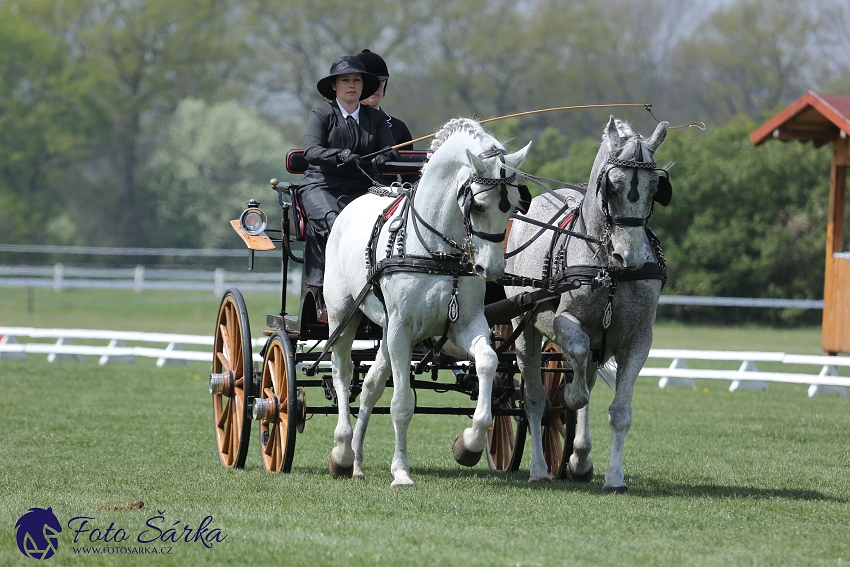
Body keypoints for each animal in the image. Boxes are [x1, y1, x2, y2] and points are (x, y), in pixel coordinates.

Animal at [324, 118, 528, 488]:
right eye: (478, 205)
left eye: (513, 205)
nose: (490, 270)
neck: (437, 252)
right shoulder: (402, 330)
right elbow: (402, 403)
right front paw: (401, 472)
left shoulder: (465, 324)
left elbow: (488, 362)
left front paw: (469, 444)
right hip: (342, 315)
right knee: (343, 375)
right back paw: (343, 453)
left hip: (385, 331)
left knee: (371, 384)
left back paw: (357, 460)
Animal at [504, 115, 668, 492]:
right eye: (612, 186)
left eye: (656, 187)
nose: (630, 256)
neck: (609, 271)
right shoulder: (565, 323)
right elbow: (575, 381)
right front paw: (570, 397)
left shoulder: (638, 339)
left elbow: (619, 412)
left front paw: (614, 478)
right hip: (524, 330)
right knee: (535, 400)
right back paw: (539, 469)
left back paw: (579, 459)